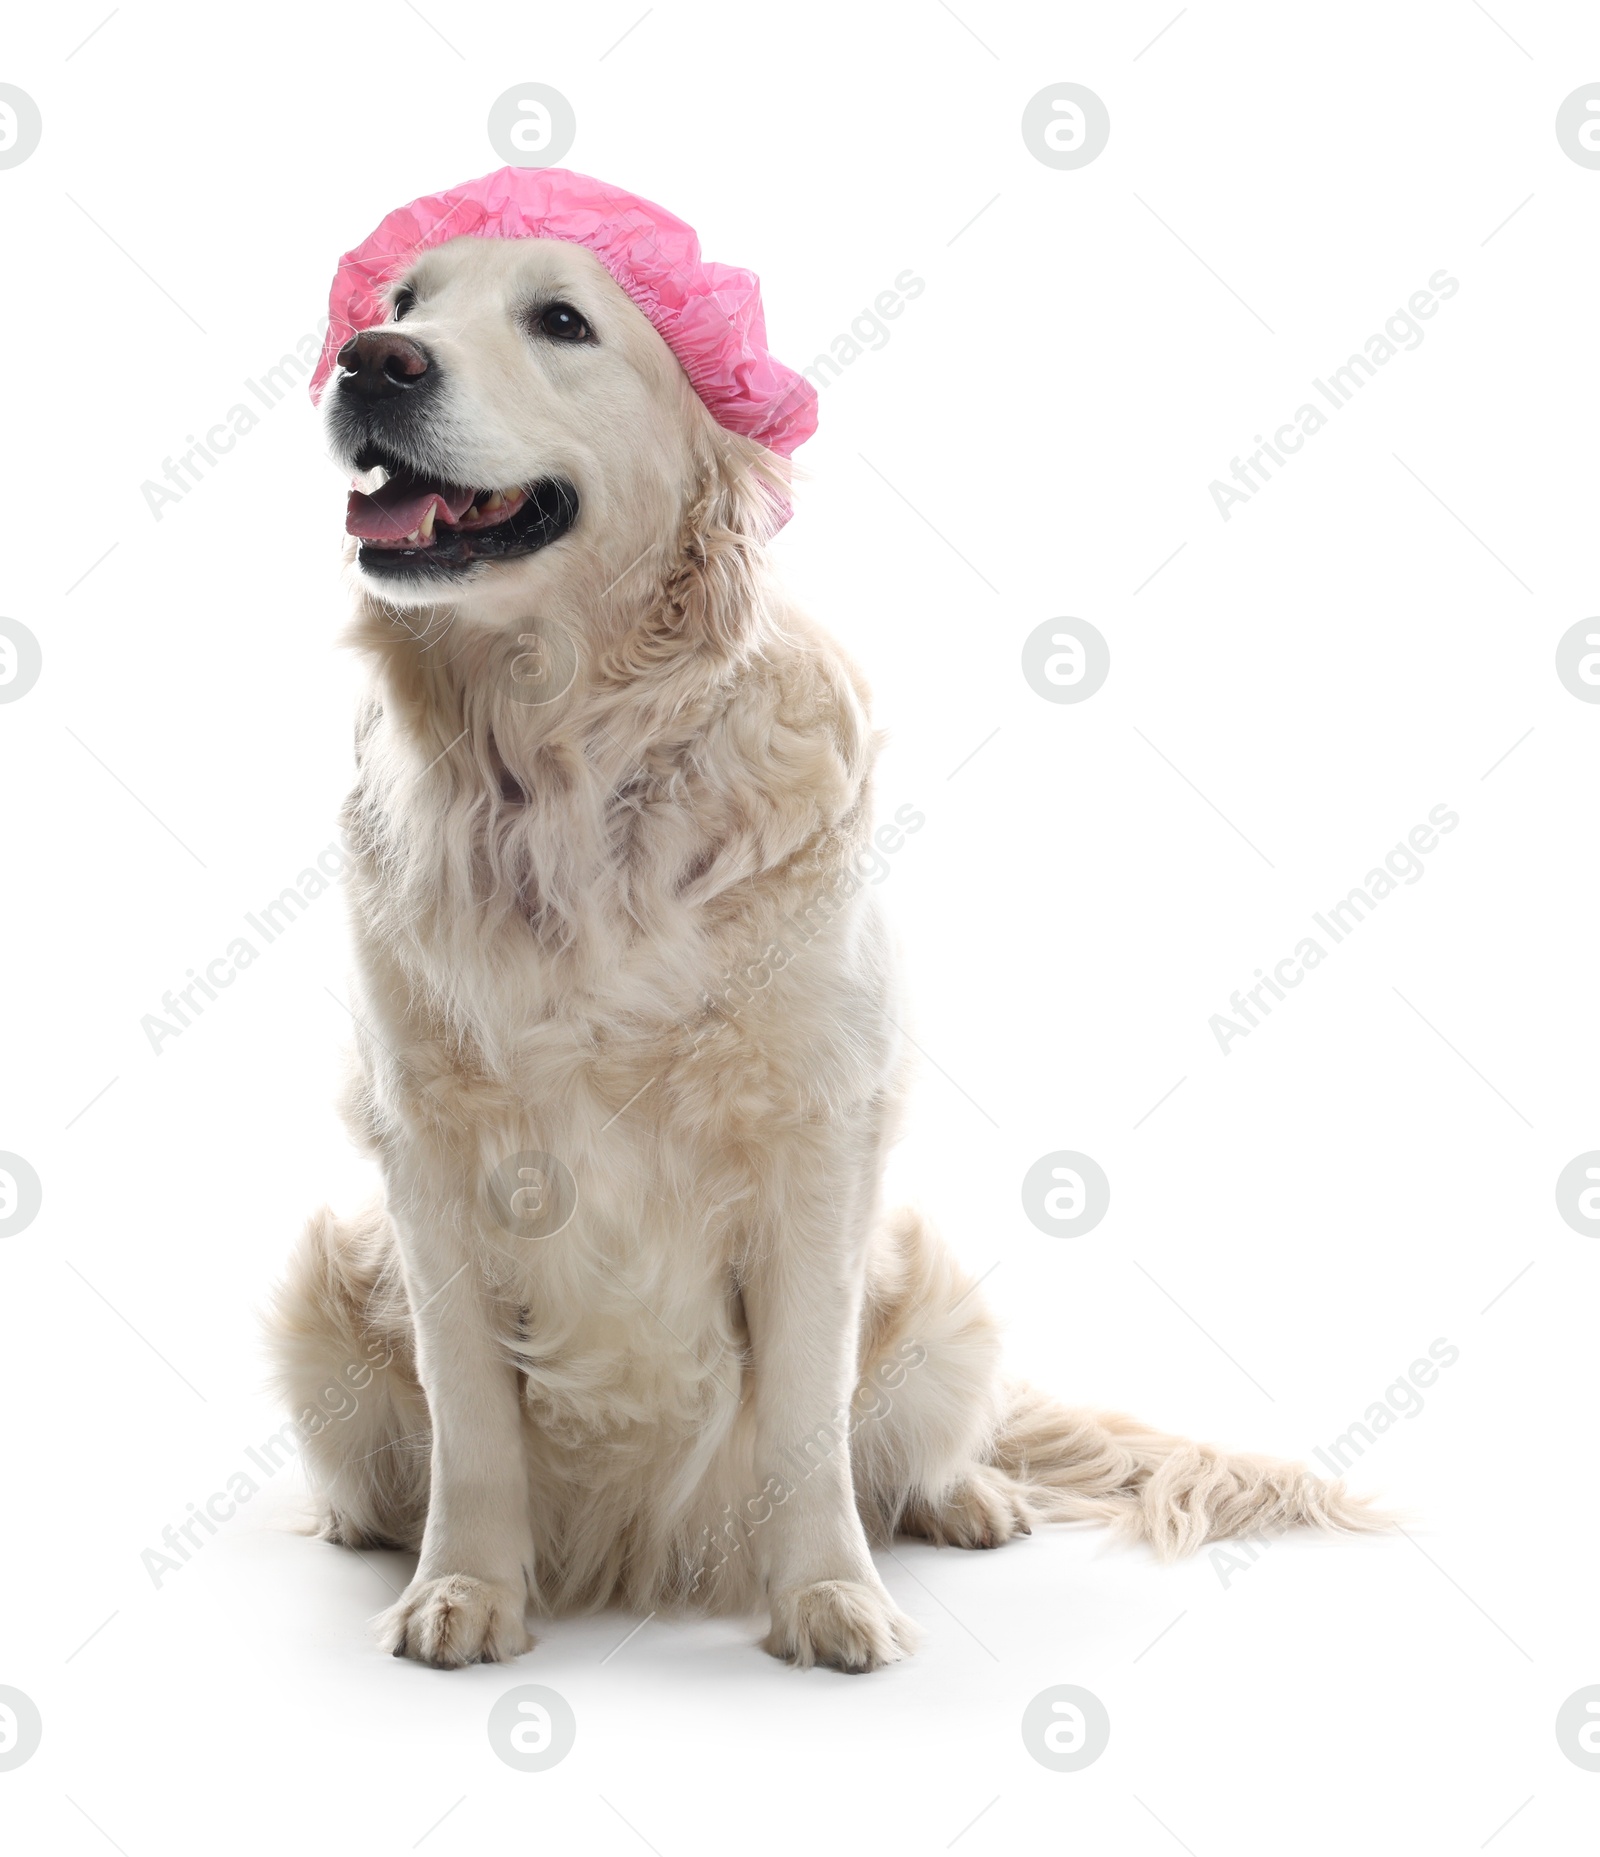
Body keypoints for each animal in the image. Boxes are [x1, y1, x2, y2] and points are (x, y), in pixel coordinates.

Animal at [269, 224, 1380, 1678]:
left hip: (937, 1285)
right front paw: (464, 1588)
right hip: (321, 1284)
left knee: (915, 1439)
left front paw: (829, 1599)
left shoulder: (816, 1140)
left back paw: (969, 1498)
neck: (568, 758)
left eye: (562, 321)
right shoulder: (429, 1152)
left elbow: (807, 1415)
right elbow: (473, 1423)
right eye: (403, 301)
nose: (371, 361)